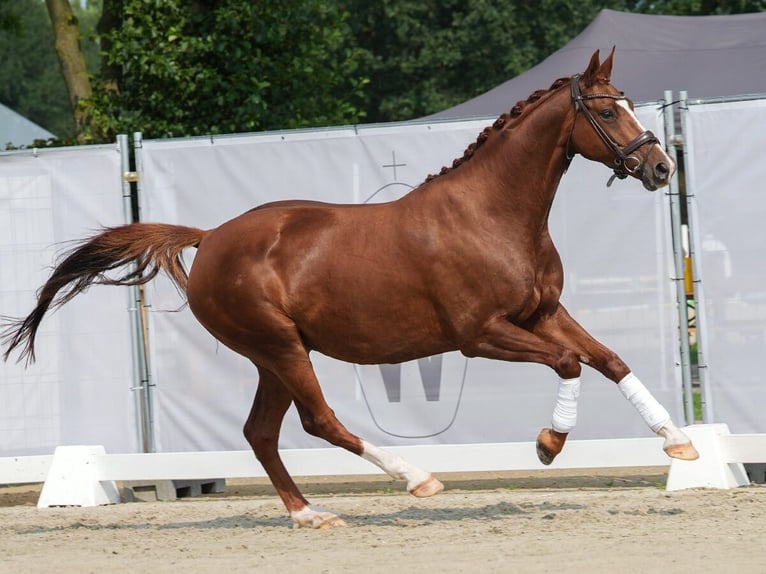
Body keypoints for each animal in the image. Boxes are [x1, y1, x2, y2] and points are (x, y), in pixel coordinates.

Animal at [1, 50, 696, 532]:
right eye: (605, 111)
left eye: (630, 103)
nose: (661, 167)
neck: (494, 214)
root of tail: (211, 238)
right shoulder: (481, 335)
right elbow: (571, 362)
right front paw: (549, 445)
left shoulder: (543, 312)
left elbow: (609, 359)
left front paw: (679, 442)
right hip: (280, 348)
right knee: (319, 420)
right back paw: (418, 480)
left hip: (274, 357)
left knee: (261, 433)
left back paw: (310, 514)